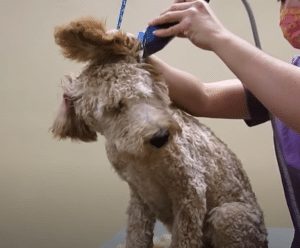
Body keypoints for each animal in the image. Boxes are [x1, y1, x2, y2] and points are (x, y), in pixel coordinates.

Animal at [50, 17, 268, 248]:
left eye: (147, 91)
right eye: (114, 107)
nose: (160, 136)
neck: (140, 158)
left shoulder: (190, 193)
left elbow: (184, 240)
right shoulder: (139, 197)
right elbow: (136, 235)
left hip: (228, 215)